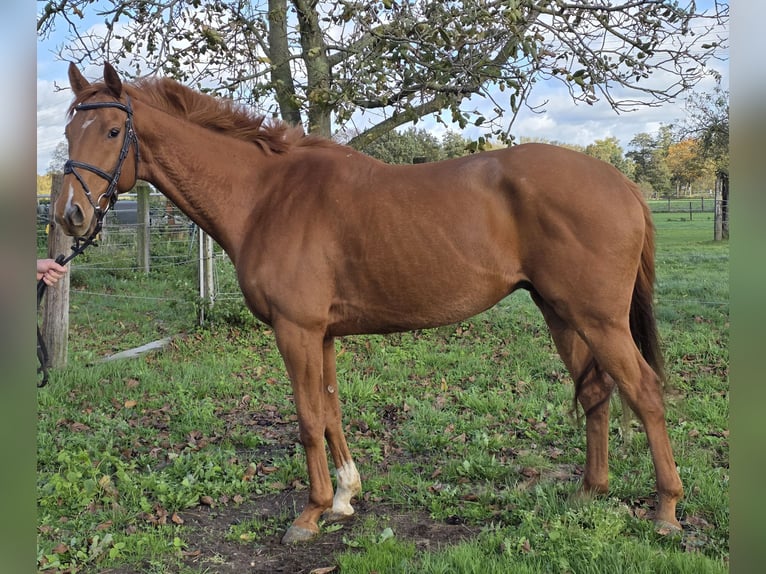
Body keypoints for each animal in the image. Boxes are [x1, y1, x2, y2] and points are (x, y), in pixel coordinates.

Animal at [54, 63, 683, 544]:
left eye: (112, 130)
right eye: (68, 131)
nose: (71, 215)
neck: (266, 196)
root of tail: (623, 185)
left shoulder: (296, 330)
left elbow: (308, 419)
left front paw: (309, 514)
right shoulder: (323, 335)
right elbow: (331, 411)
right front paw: (344, 497)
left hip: (598, 320)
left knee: (646, 393)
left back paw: (666, 510)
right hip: (562, 314)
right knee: (598, 393)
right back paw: (589, 493)